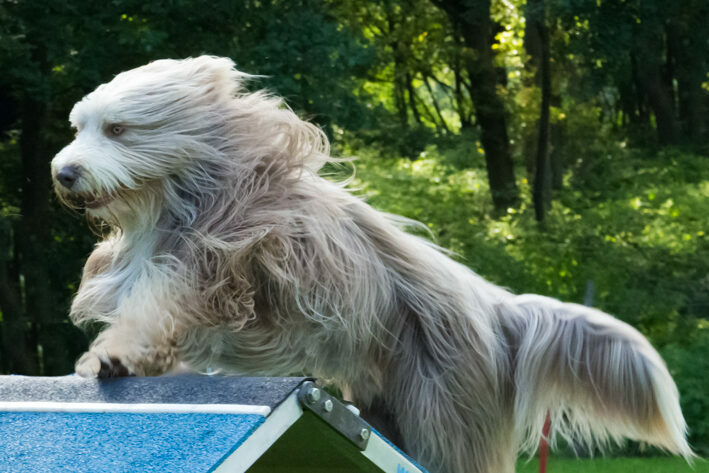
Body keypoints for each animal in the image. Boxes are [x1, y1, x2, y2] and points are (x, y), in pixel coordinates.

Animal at [51, 56, 692, 472]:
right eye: (79, 128)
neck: (186, 195)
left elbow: (158, 310)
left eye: (118, 129)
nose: (64, 172)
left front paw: (113, 356)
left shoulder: (224, 263)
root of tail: (496, 306)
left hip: (445, 410)